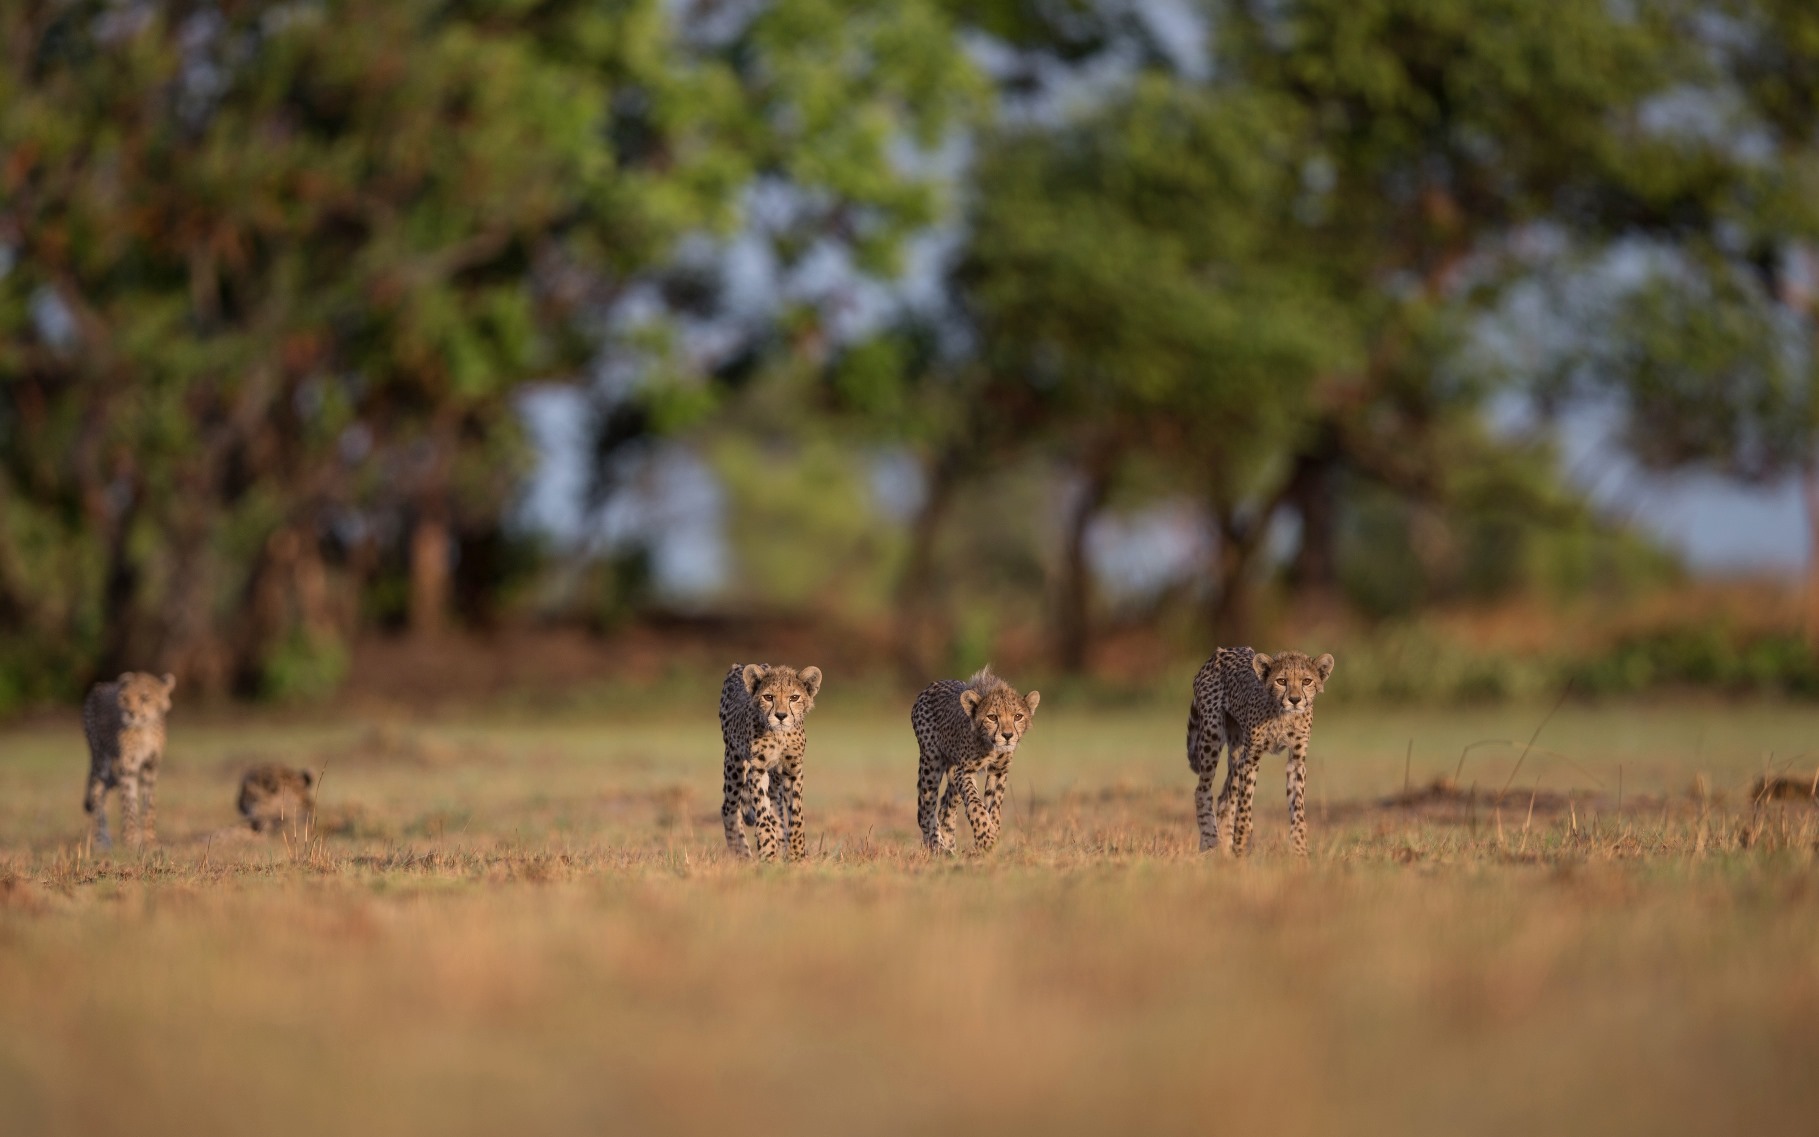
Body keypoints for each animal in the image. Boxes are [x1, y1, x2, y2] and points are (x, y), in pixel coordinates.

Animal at [81, 671, 176, 850]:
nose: (130, 713)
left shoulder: (150, 767)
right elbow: (129, 804)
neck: (145, 729)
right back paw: (100, 841)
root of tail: (100, 685)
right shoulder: (127, 768)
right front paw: (131, 840)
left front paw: (150, 840)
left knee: (104, 796)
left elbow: (149, 804)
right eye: (124, 698)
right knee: (97, 795)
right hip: (101, 758)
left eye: (145, 698)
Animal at [719, 662, 822, 861]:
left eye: (794, 697)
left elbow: (796, 815)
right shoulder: (757, 769)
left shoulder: (793, 769)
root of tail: (738, 665)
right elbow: (762, 813)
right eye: (768, 697)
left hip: (774, 780)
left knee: (776, 809)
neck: (780, 735)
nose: (781, 716)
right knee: (729, 808)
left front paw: (796, 853)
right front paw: (768, 851)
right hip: (734, 761)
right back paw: (742, 854)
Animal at [912, 666, 1040, 854]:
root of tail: (934, 684)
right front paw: (986, 838)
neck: (990, 745)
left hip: (952, 773)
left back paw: (950, 848)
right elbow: (975, 804)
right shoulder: (965, 771)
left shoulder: (999, 771)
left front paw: (992, 835)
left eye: (1018, 716)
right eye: (992, 717)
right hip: (931, 761)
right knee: (926, 809)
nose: (1008, 735)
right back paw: (938, 848)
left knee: (946, 808)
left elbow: (994, 806)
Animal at [1186, 647, 1334, 857]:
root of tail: (1222, 650)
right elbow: (1244, 807)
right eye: (1281, 681)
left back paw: (1225, 850)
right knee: (1202, 790)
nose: (1295, 700)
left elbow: (1297, 807)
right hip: (1213, 734)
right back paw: (1210, 841)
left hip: (1236, 749)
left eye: (1307, 681)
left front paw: (1300, 849)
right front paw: (1240, 844)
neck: (1283, 714)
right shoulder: (1251, 759)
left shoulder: (1296, 760)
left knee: (1226, 799)